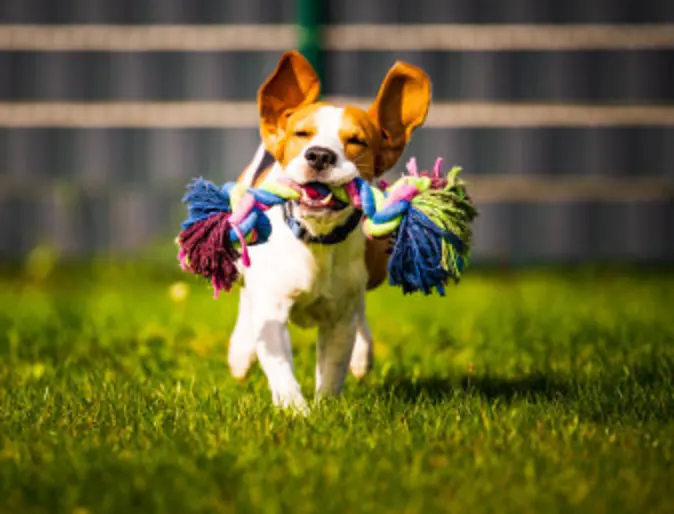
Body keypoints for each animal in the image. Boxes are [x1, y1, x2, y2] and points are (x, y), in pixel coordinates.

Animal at [228, 51, 428, 412]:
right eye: (302, 134)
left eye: (356, 141)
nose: (320, 155)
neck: (316, 239)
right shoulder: (272, 309)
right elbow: (279, 366)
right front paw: (296, 411)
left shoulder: (339, 319)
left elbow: (333, 368)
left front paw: (324, 409)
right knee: (245, 296)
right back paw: (240, 352)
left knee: (360, 310)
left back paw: (363, 355)